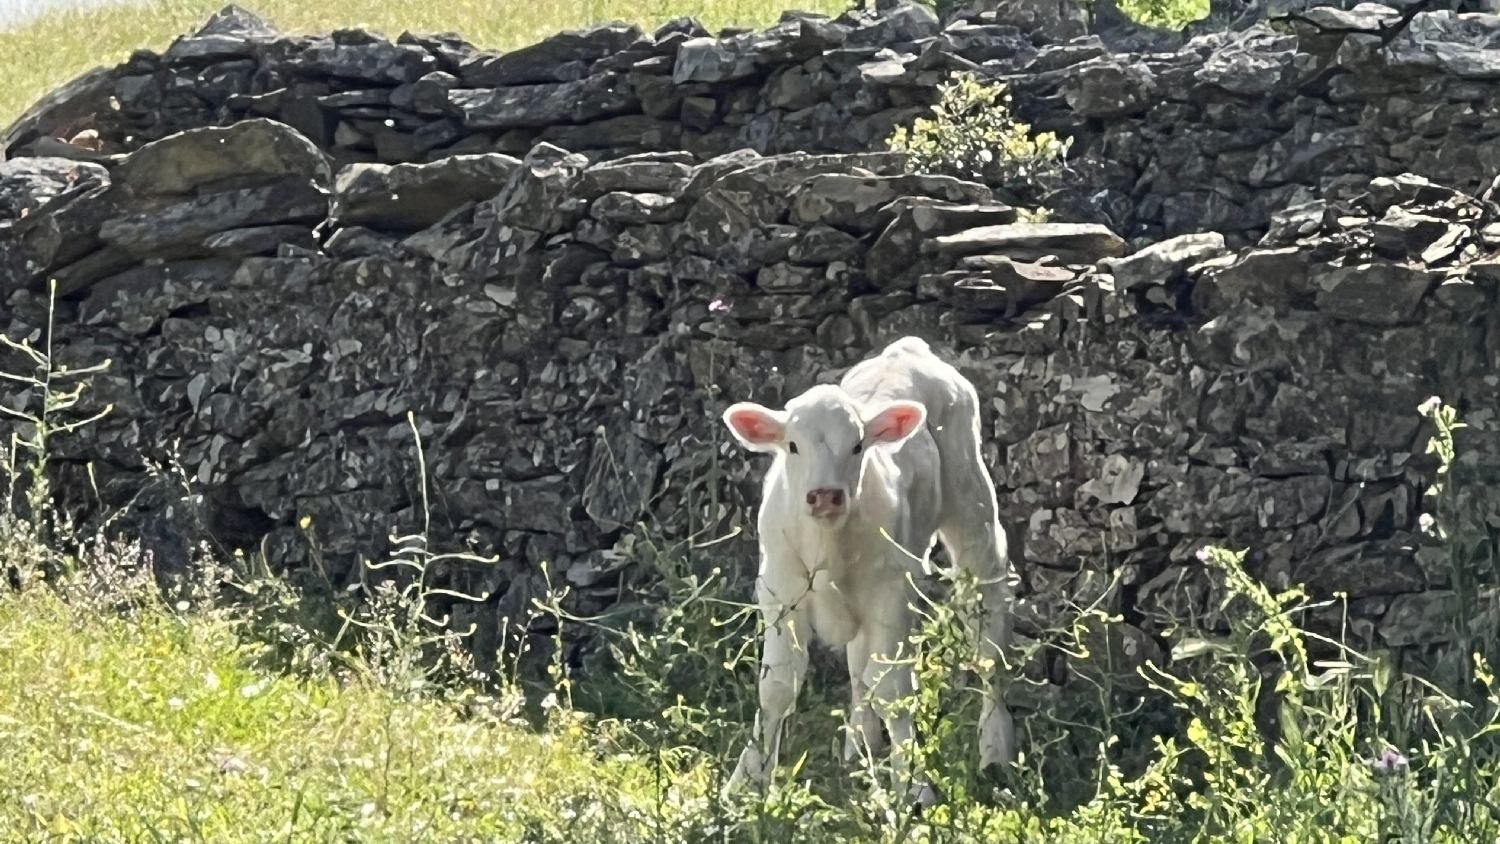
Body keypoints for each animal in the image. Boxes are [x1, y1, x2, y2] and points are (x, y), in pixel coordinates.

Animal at [720, 337, 1014, 803]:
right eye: (793, 446)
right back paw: (858, 746)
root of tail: (907, 349)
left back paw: (995, 748)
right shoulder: (779, 591)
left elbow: (894, 689)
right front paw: (748, 781)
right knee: (860, 669)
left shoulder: (891, 593)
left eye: (857, 446)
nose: (825, 495)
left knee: (988, 635)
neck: (828, 546)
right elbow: (777, 687)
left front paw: (913, 787)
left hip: (975, 516)